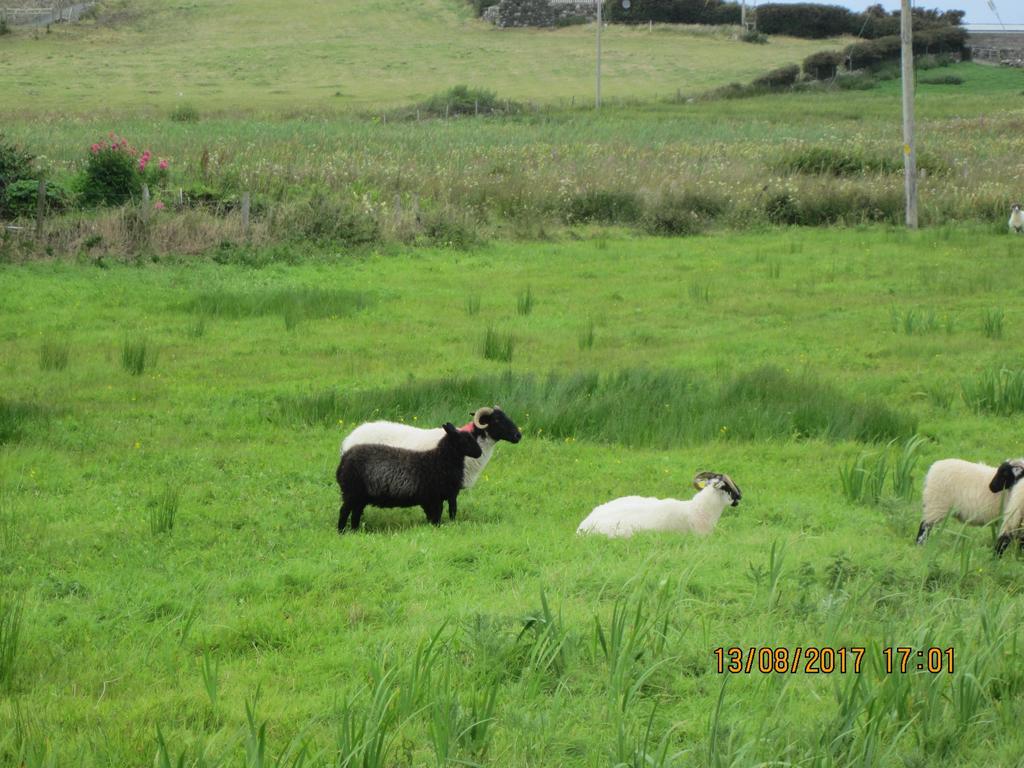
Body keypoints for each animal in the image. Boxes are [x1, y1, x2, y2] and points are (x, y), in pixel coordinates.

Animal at [333, 423, 481, 532]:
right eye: (465, 439)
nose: (479, 452)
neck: (440, 460)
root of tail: (344, 460)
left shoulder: (439, 498)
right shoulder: (433, 498)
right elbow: (436, 517)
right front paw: (436, 529)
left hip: (360, 496)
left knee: (356, 513)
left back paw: (355, 530)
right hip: (352, 491)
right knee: (344, 511)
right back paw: (341, 531)